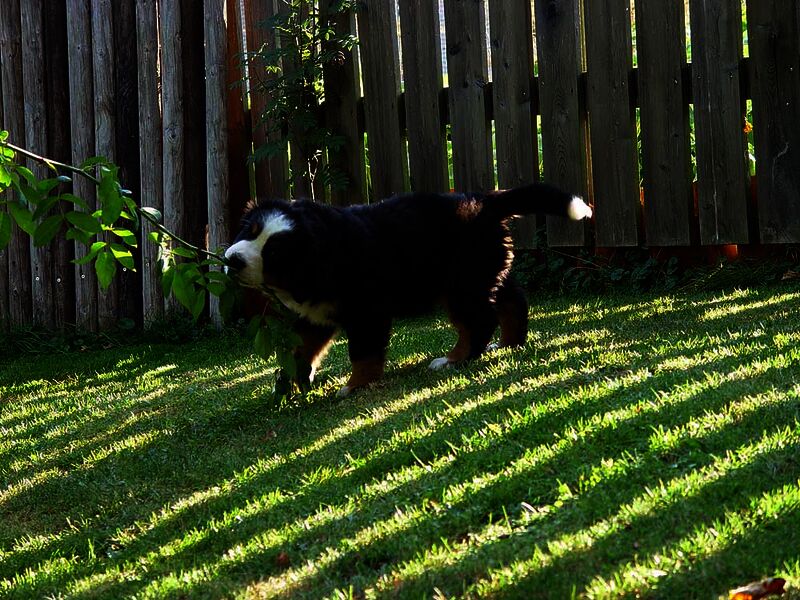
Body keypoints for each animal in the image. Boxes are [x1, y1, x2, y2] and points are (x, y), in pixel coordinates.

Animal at [225, 183, 592, 397]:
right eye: (250, 231)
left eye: (274, 253)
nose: (232, 259)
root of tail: (481, 202)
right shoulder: (315, 315)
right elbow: (302, 349)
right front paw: (294, 382)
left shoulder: (367, 313)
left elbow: (364, 353)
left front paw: (355, 386)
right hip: (482, 272)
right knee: (512, 302)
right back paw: (507, 343)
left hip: (460, 285)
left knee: (477, 323)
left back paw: (454, 360)